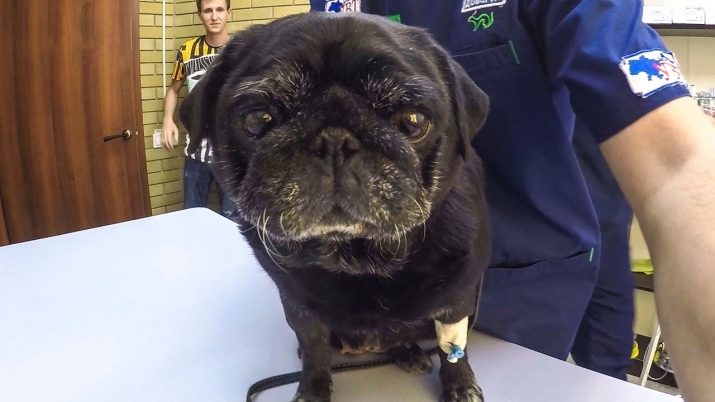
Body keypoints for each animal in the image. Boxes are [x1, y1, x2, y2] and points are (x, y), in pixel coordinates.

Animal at [181, 12, 491, 402]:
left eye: (413, 121)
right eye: (256, 120)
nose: (334, 140)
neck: (354, 254)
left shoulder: (458, 301)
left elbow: (453, 349)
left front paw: (460, 386)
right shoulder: (299, 309)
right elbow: (315, 351)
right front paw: (312, 390)